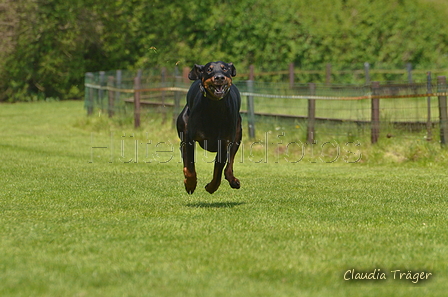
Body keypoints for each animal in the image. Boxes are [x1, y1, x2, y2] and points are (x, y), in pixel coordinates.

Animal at [177, 61, 243, 193]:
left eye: (225, 69)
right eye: (209, 70)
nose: (219, 77)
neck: (214, 108)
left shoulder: (223, 143)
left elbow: (218, 171)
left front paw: (211, 187)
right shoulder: (189, 138)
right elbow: (190, 166)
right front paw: (190, 184)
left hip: (238, 135)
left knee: (229, 164)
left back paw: (233, 181)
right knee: (184, 155)